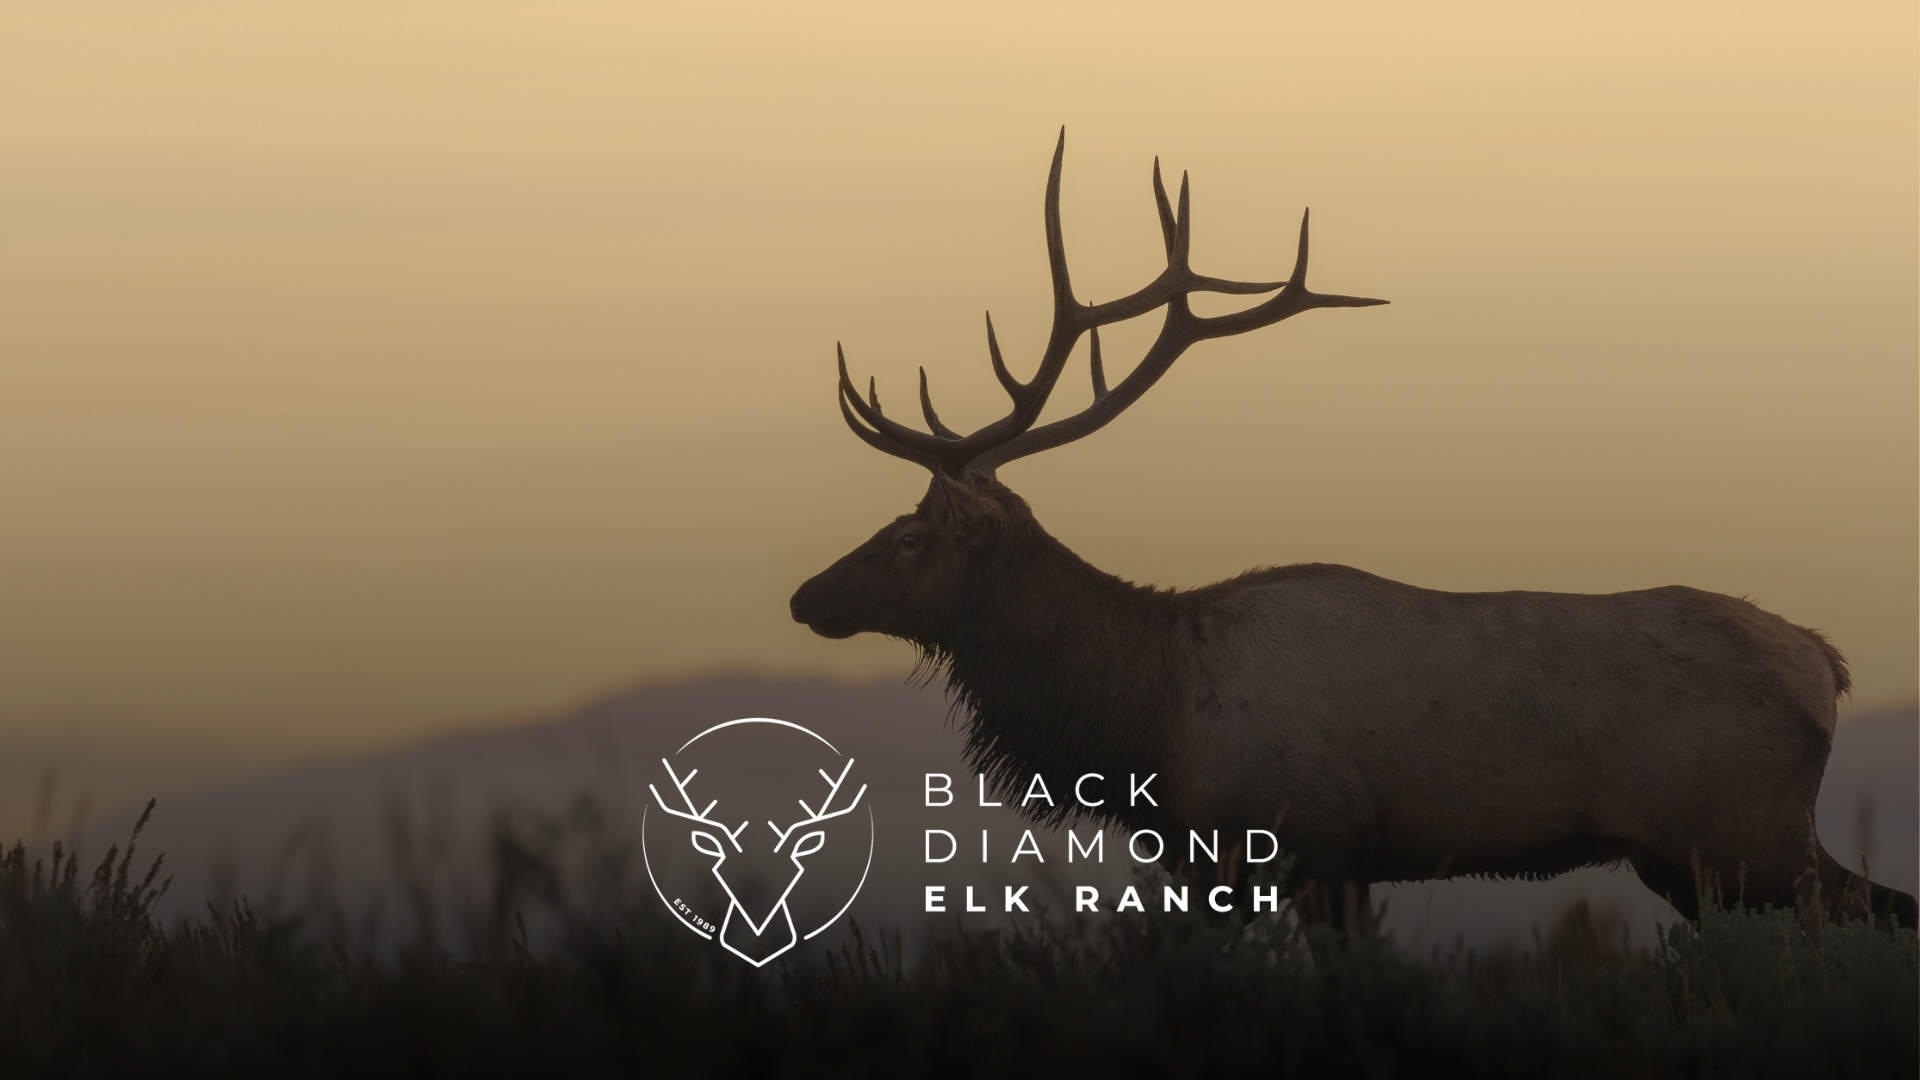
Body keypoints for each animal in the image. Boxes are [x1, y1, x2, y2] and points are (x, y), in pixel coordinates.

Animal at [788, 131, 1918, 934]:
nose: (804, 596)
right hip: (1691, 859)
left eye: (911, 536)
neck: (1146, 722)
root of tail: (1827, 662)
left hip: (1745, 834)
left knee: (1875, 913)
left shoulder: (1309, 842)